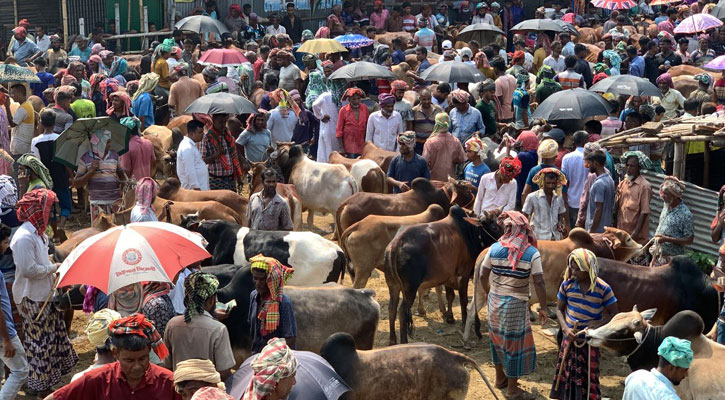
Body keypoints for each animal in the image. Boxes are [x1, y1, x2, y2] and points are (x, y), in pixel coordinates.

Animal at [384, 206, 504, 344]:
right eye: (494, 227)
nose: (502, 241)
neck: (469, 233)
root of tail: (397, 243)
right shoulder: (463, 274)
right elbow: (463, 301)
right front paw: (463, 322)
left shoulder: (448, 276)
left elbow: (450, 296)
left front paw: (449, 317)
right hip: (410, 288)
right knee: (403, 312)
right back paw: (403, 341)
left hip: (393, 285)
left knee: (392, 309)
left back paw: (392, 340)